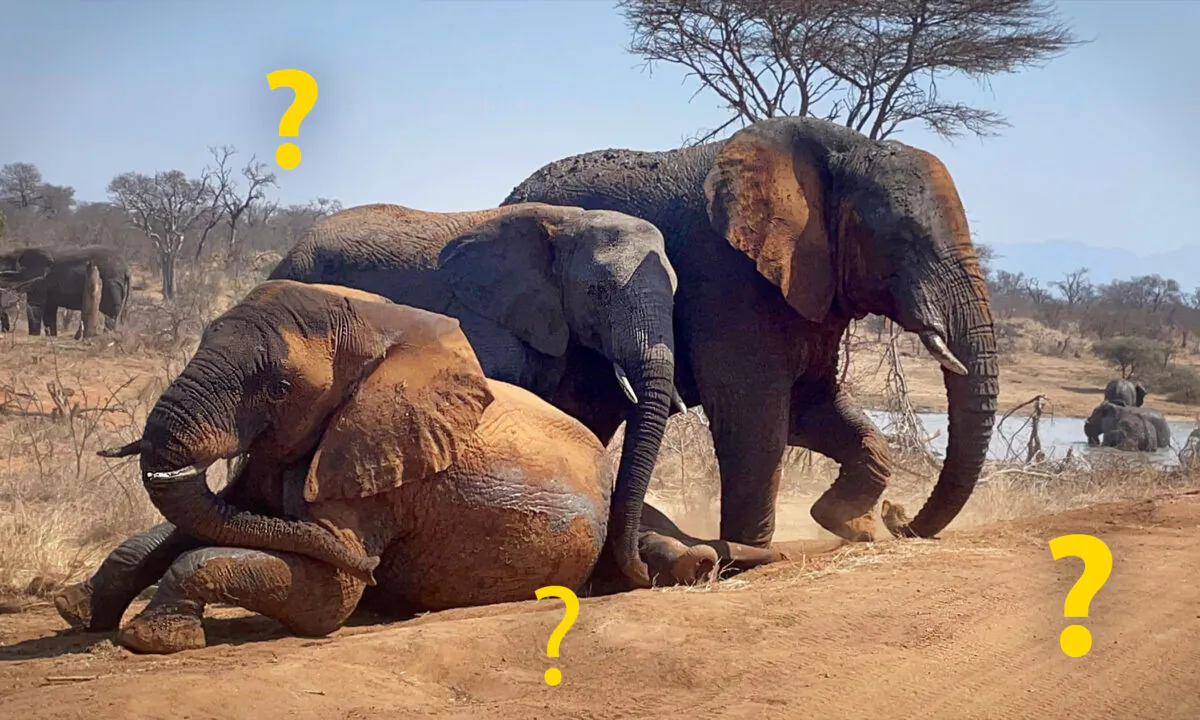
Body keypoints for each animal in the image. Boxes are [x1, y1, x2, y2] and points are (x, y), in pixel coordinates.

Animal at [0, 245, 131, 336]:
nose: (6, 329)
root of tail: (127, 270)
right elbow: (49, 311)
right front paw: (51, 336)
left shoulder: (39, 281)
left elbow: (35, 307)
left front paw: (33, 336)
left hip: (111, 283)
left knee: (110, 312)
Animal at [55, 280, 786, 652]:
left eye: (278, 387)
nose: (384, 576)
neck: (372, 324)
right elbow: (205, 525)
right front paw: (75, 609)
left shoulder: (376, 467)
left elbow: (326, 594)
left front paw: (154, 636)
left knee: (663, 547)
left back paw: (694, 565)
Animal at [502, 115, 999, 553]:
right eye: (904, 241)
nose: (899, 516)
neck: (846, 151)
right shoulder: (728, 277)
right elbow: (755, 421)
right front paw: (749, 550)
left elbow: (812, 409)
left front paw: (845, 523)